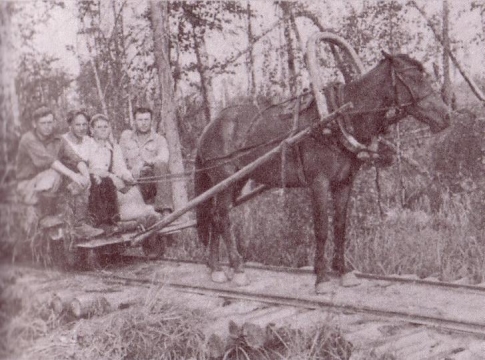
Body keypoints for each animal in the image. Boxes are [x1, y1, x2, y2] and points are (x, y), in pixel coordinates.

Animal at [193, 43, 450, 294]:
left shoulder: (344, 182)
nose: (447, 116)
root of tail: (210, 126)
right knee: (223, 217)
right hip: (224, 178)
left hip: (236, 181)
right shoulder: (319, 182)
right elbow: (322, 228)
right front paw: (322, 278)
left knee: (215, 216)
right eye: (412, 77)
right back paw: (237, 269)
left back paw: (215, 268)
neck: (338, 119)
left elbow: (340, 226)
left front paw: (344, 271)